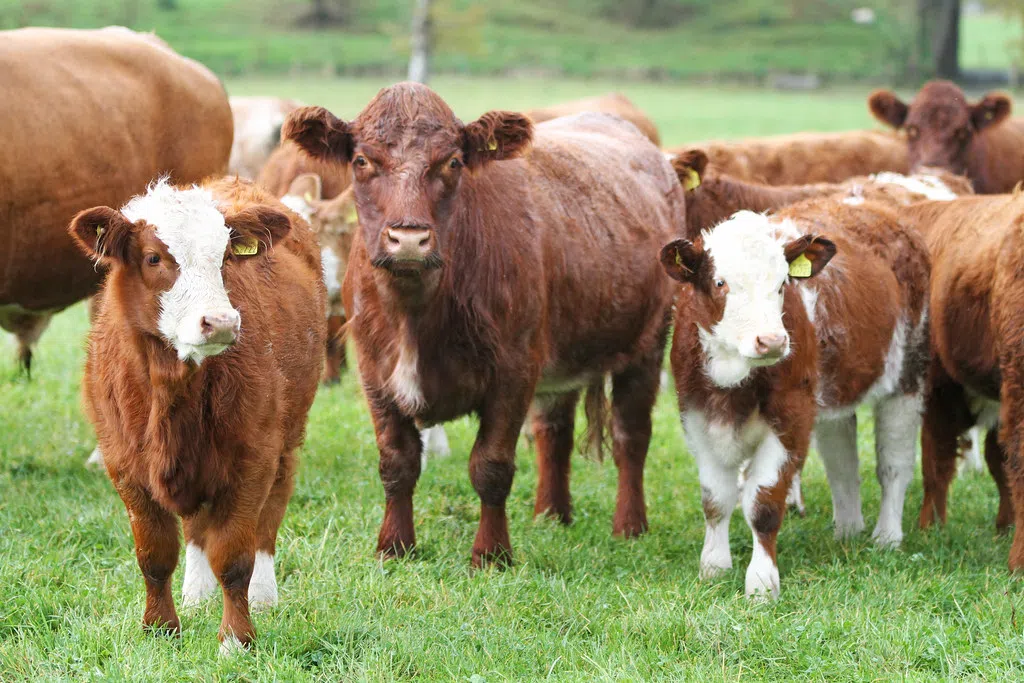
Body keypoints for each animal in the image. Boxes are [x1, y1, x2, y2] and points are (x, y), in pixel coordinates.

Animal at [69, 177, 326, 652]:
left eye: (225, 258)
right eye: (154, 257)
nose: (221, 322)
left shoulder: (252, 462)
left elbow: (235, 558)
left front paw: (236, 640)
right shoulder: (125, 467)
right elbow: (154, 554)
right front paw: (160, 628)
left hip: (287, 439)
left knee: (268, 520)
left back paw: (264, 595)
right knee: (195, 530)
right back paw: (195, 593)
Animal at [661, 198, 930, 597]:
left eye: (782, 284)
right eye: (720, 282)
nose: (772, 341)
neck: (732, 383)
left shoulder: (792, 419)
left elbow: (764, 504)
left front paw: (761, 582)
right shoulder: (695, 417)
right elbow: (715, 499)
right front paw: (714, 566)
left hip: (907, 376)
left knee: (894, 466)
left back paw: (887, 535)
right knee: (842, 464)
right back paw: (847, 530)